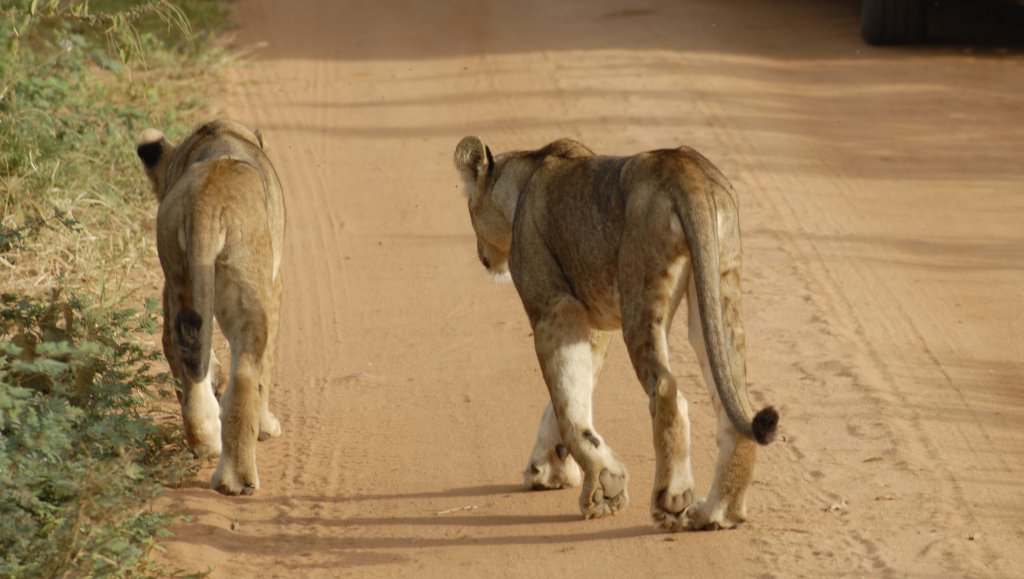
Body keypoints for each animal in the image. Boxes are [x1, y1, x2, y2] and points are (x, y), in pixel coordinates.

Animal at [137, 119, 284, 493]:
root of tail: (205, 203)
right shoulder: (275, 284)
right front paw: (267, 427)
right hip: (249, 283)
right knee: (247, 372)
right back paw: (237, 478)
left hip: (180, 275)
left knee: (185, 353)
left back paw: (205, 441)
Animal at [452, 134, 778, 528]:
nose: (482, 256)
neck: (523, 180)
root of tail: (686, 171)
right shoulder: (592, 321)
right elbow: (572, 397)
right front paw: (549, 469)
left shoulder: (554, 307)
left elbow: (568, 403)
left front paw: (602, 488)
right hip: (718, 285)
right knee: (735, 398)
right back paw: (716, 513)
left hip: (642, 294)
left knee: (667, 390)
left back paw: (672, 498)